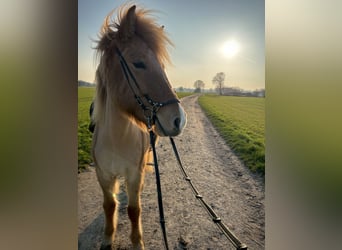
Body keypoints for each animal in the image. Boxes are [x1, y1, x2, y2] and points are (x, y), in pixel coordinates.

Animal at [91, 4, 187, 250]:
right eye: (139, 63)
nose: (179, 119)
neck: (117, 139)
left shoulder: (134, 173)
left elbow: (134, 210)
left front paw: (137, 242)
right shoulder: (103, 175)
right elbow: (109, 205)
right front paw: (108, 238)